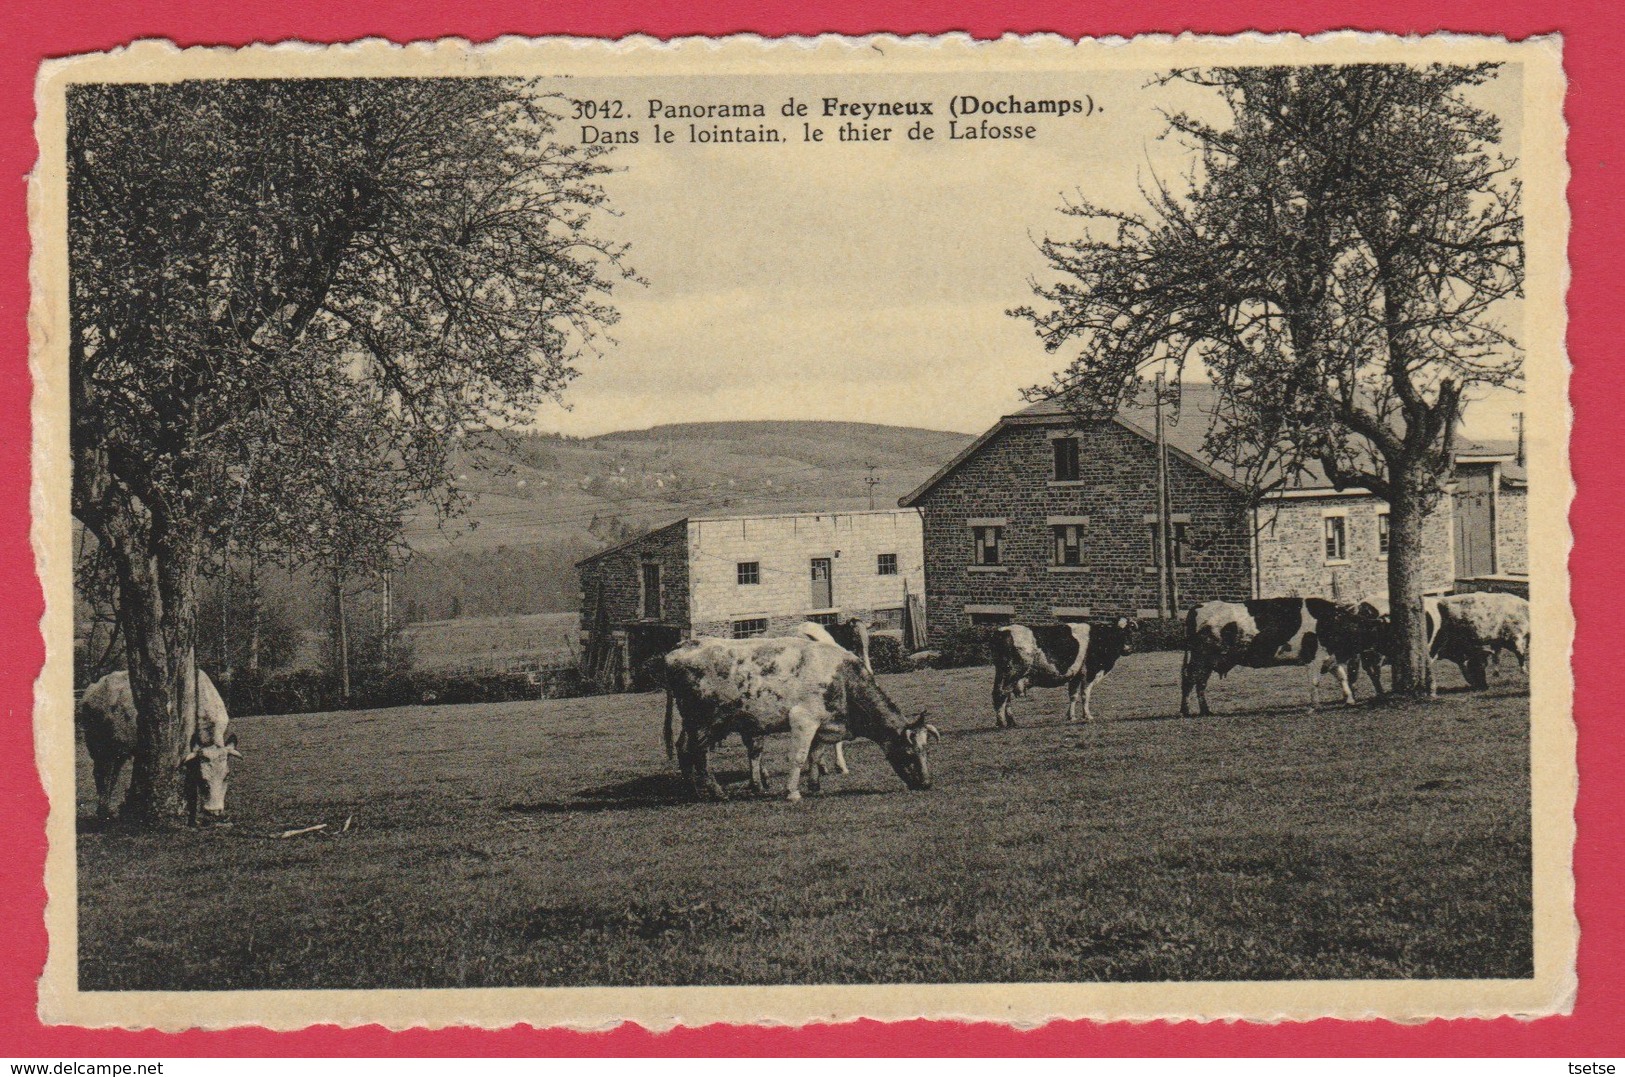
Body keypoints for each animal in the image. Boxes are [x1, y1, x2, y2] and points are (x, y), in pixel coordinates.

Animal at [76, 669, 237, 821]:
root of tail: (93, 688)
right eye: (203, 779)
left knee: (112, 774)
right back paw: (103, 812)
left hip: (119, 750)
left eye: (226, 776)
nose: (214, 811)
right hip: (100, 747)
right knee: (102, 774)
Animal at [663, 636, 942, 805]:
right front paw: (793, 792)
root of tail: (679, 650)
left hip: (692, 723)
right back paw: (716, 792)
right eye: (909, 752)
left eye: (927, 751)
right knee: (698, 754)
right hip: (704, 722)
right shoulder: (804, 719)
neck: (842, 680)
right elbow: (798, 756)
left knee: (684, 749)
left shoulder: (824, 725)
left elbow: (815, 755)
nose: (926, 784)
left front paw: (815, 785)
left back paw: (692, 790)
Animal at [981, 620, 1137, 727]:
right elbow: (1085, 695)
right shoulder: (1089, 673)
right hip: (1012, 672)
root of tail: (1001, 631)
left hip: (1004, 674)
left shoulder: (1075, 675)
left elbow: (1073, 695)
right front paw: (1088, 716)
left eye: (1130, 632)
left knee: (1004, 695)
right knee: (1001, 694)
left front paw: (1071, 717)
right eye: (1117, 634)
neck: (1099, 638)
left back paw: (1012, 721)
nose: (1128, 649)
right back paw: (1001, 722)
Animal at [1183, 597, 1384, 714]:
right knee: (1191, 679)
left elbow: (1342, 678)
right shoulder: (1314, 657)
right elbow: (1314, 682)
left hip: (1208, 660)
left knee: (1199, 682)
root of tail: (1199, 606)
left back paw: (1204, 710)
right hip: (1201, 657)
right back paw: (1189, 710)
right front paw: (1314, 706)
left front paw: (1349, 700)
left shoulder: (1330, 658)